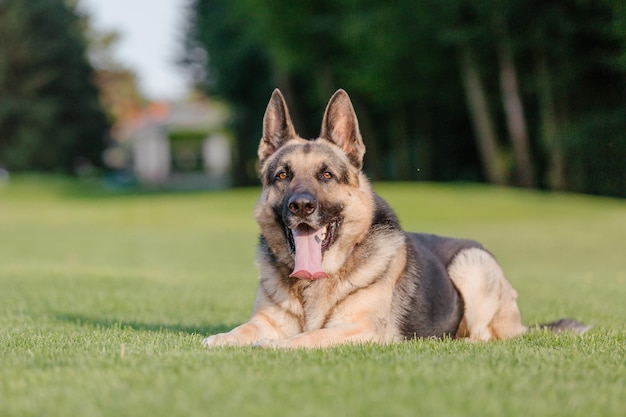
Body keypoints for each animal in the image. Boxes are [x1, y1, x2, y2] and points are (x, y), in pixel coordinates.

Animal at [202, 89, 588, 346]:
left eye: (326, 175)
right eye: (282, 175)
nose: (300, 206)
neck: (316, 281)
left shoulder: (358, 331)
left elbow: (306, 338)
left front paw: (272, 345)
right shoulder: (266, 319)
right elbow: (245, 329)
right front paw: (222, 338)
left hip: (471, 264)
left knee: (482, 337)